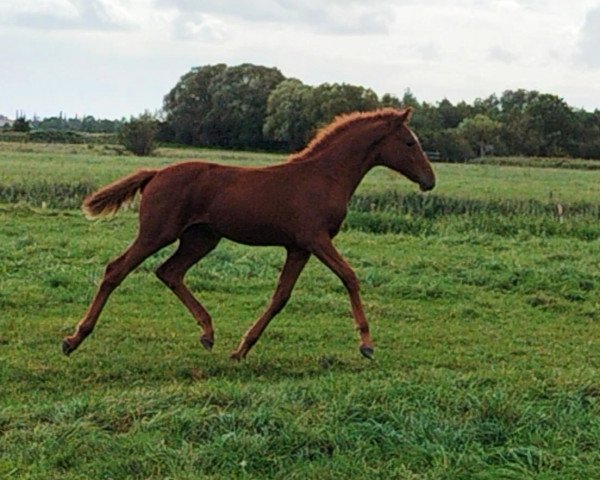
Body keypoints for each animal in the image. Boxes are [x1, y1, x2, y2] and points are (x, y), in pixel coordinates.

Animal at [62, 108, 436, 360]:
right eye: (409, 142)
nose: (429, 180)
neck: (324, 176)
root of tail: (155, 174)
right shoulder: (315, 239)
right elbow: (350, 277)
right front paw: (367, 345)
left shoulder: (298, 247)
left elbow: (281, 296)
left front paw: (242, 349)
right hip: (157, 232)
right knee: (117, 269)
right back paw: (74, 339)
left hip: (201, 238)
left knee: (169, 272)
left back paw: (208, 333)